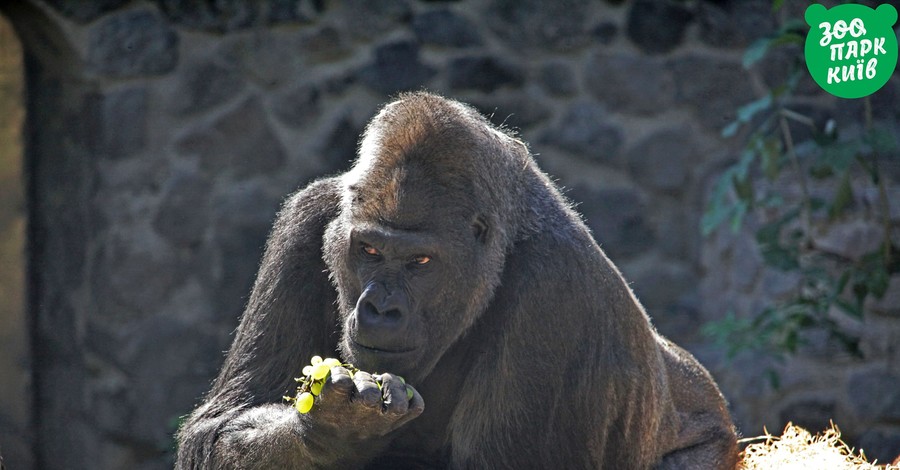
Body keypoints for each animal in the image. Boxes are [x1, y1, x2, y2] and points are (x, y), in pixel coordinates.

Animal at [176, 92, 740, 470]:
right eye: (369, 250)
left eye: (422, 262)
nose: (381, 309)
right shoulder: (306, 219)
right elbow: (219, 424)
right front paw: (334, 432)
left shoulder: (556, 290)